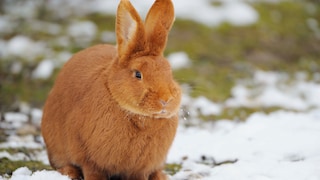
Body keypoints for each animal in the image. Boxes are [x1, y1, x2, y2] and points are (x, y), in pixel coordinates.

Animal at [40, 0, 181, 179]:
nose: (166, 100)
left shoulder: (140, 169)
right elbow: (92, 170)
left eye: (169, 71)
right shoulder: (89, 159)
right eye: (138, 74)